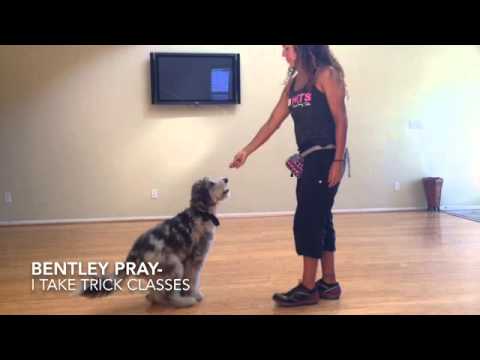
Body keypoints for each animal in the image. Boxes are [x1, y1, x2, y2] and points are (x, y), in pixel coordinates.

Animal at [80, 176, 231, 306]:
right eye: (211, 183)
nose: (226, 179)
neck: (201, 213)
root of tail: (133, 255)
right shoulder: (195, 259)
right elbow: (192, 280)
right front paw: (195, 294)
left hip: (160, 273)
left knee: (155, 294)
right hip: (174, 266)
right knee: (169, 296)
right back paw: (185, 302)